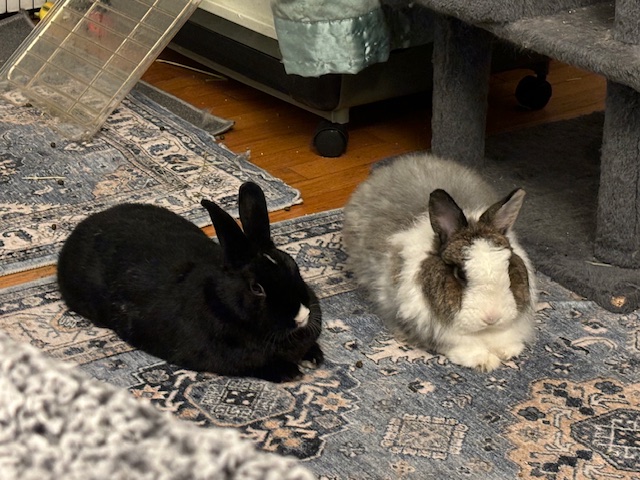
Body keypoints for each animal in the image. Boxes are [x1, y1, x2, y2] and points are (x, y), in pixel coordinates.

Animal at [57, 182, 323, 383]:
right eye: (256, 288)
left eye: (293, 265)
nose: (301, 315)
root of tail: (83, 227)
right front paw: (291, 373)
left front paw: (314, 357)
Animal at [342, 153, 537, 372]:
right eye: (459, 274)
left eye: (508, 266)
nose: (492, 317)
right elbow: (460, 343)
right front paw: (484, 361)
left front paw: (508, 350)